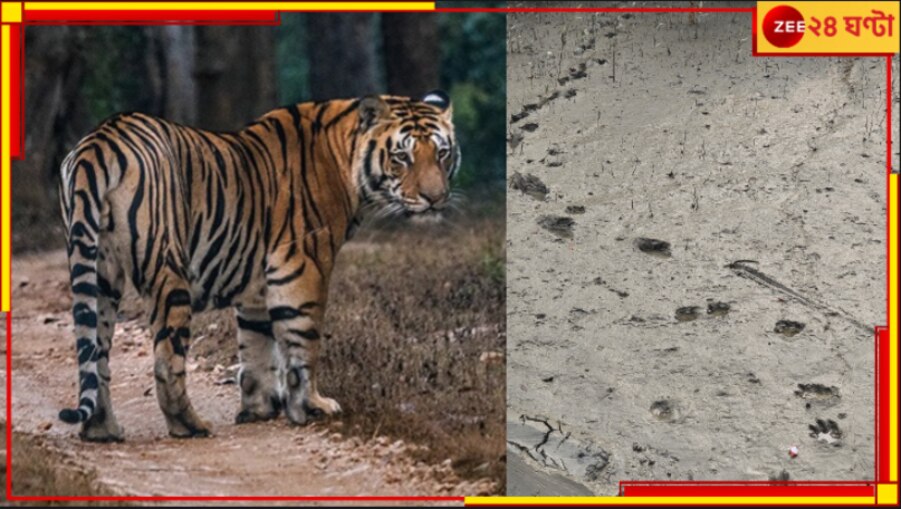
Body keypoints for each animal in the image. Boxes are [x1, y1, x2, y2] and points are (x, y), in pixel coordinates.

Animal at [57, 91, 460, 441]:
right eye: (402, 157)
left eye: (442, 153)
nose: (435, 198)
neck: (345, 157)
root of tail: (101, 140)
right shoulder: (303, 266)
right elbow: (303, 341)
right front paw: (313, 405)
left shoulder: (256, 284)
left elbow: (256, 347)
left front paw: (258, 409)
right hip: (167, 269)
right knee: (166, 360)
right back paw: (190, 426)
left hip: (98, 271)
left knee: (95, 353)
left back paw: (102, 430)